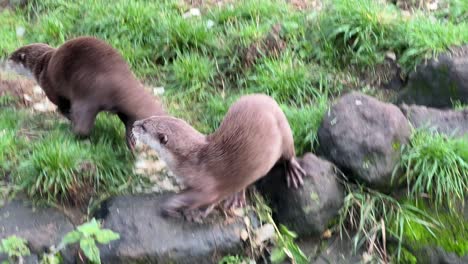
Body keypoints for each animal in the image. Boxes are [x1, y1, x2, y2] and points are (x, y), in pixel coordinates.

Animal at [7, 36, 166, 151]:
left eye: (12, 56)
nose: (5, 59)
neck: (42, 64)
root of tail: (116, 76)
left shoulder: (50, 88)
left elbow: (61, 106)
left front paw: (68, 116)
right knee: (128, 118)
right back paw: (131, 142)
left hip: (85, 95)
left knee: (83, 124)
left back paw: (72, 133)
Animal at [133, 94, 308, 220]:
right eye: (148, 119)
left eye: (144, 126)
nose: (134, 124)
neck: (191, 161)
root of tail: (269, 99)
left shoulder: (207, 186)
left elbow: (202, 197)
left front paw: (175, 206)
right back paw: (236, 197)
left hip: (284, 132)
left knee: (289, 153)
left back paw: (293, 170)